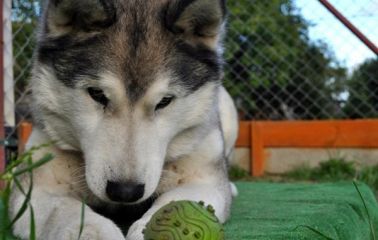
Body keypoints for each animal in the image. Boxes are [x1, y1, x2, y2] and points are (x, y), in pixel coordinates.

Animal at [10, 0, 238, 240]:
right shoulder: (36, 190)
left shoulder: (204, 179)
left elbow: (178, 199)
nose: (125, 191)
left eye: (164, 101)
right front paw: (97, 231)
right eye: (97, 94)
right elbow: (66, 211)